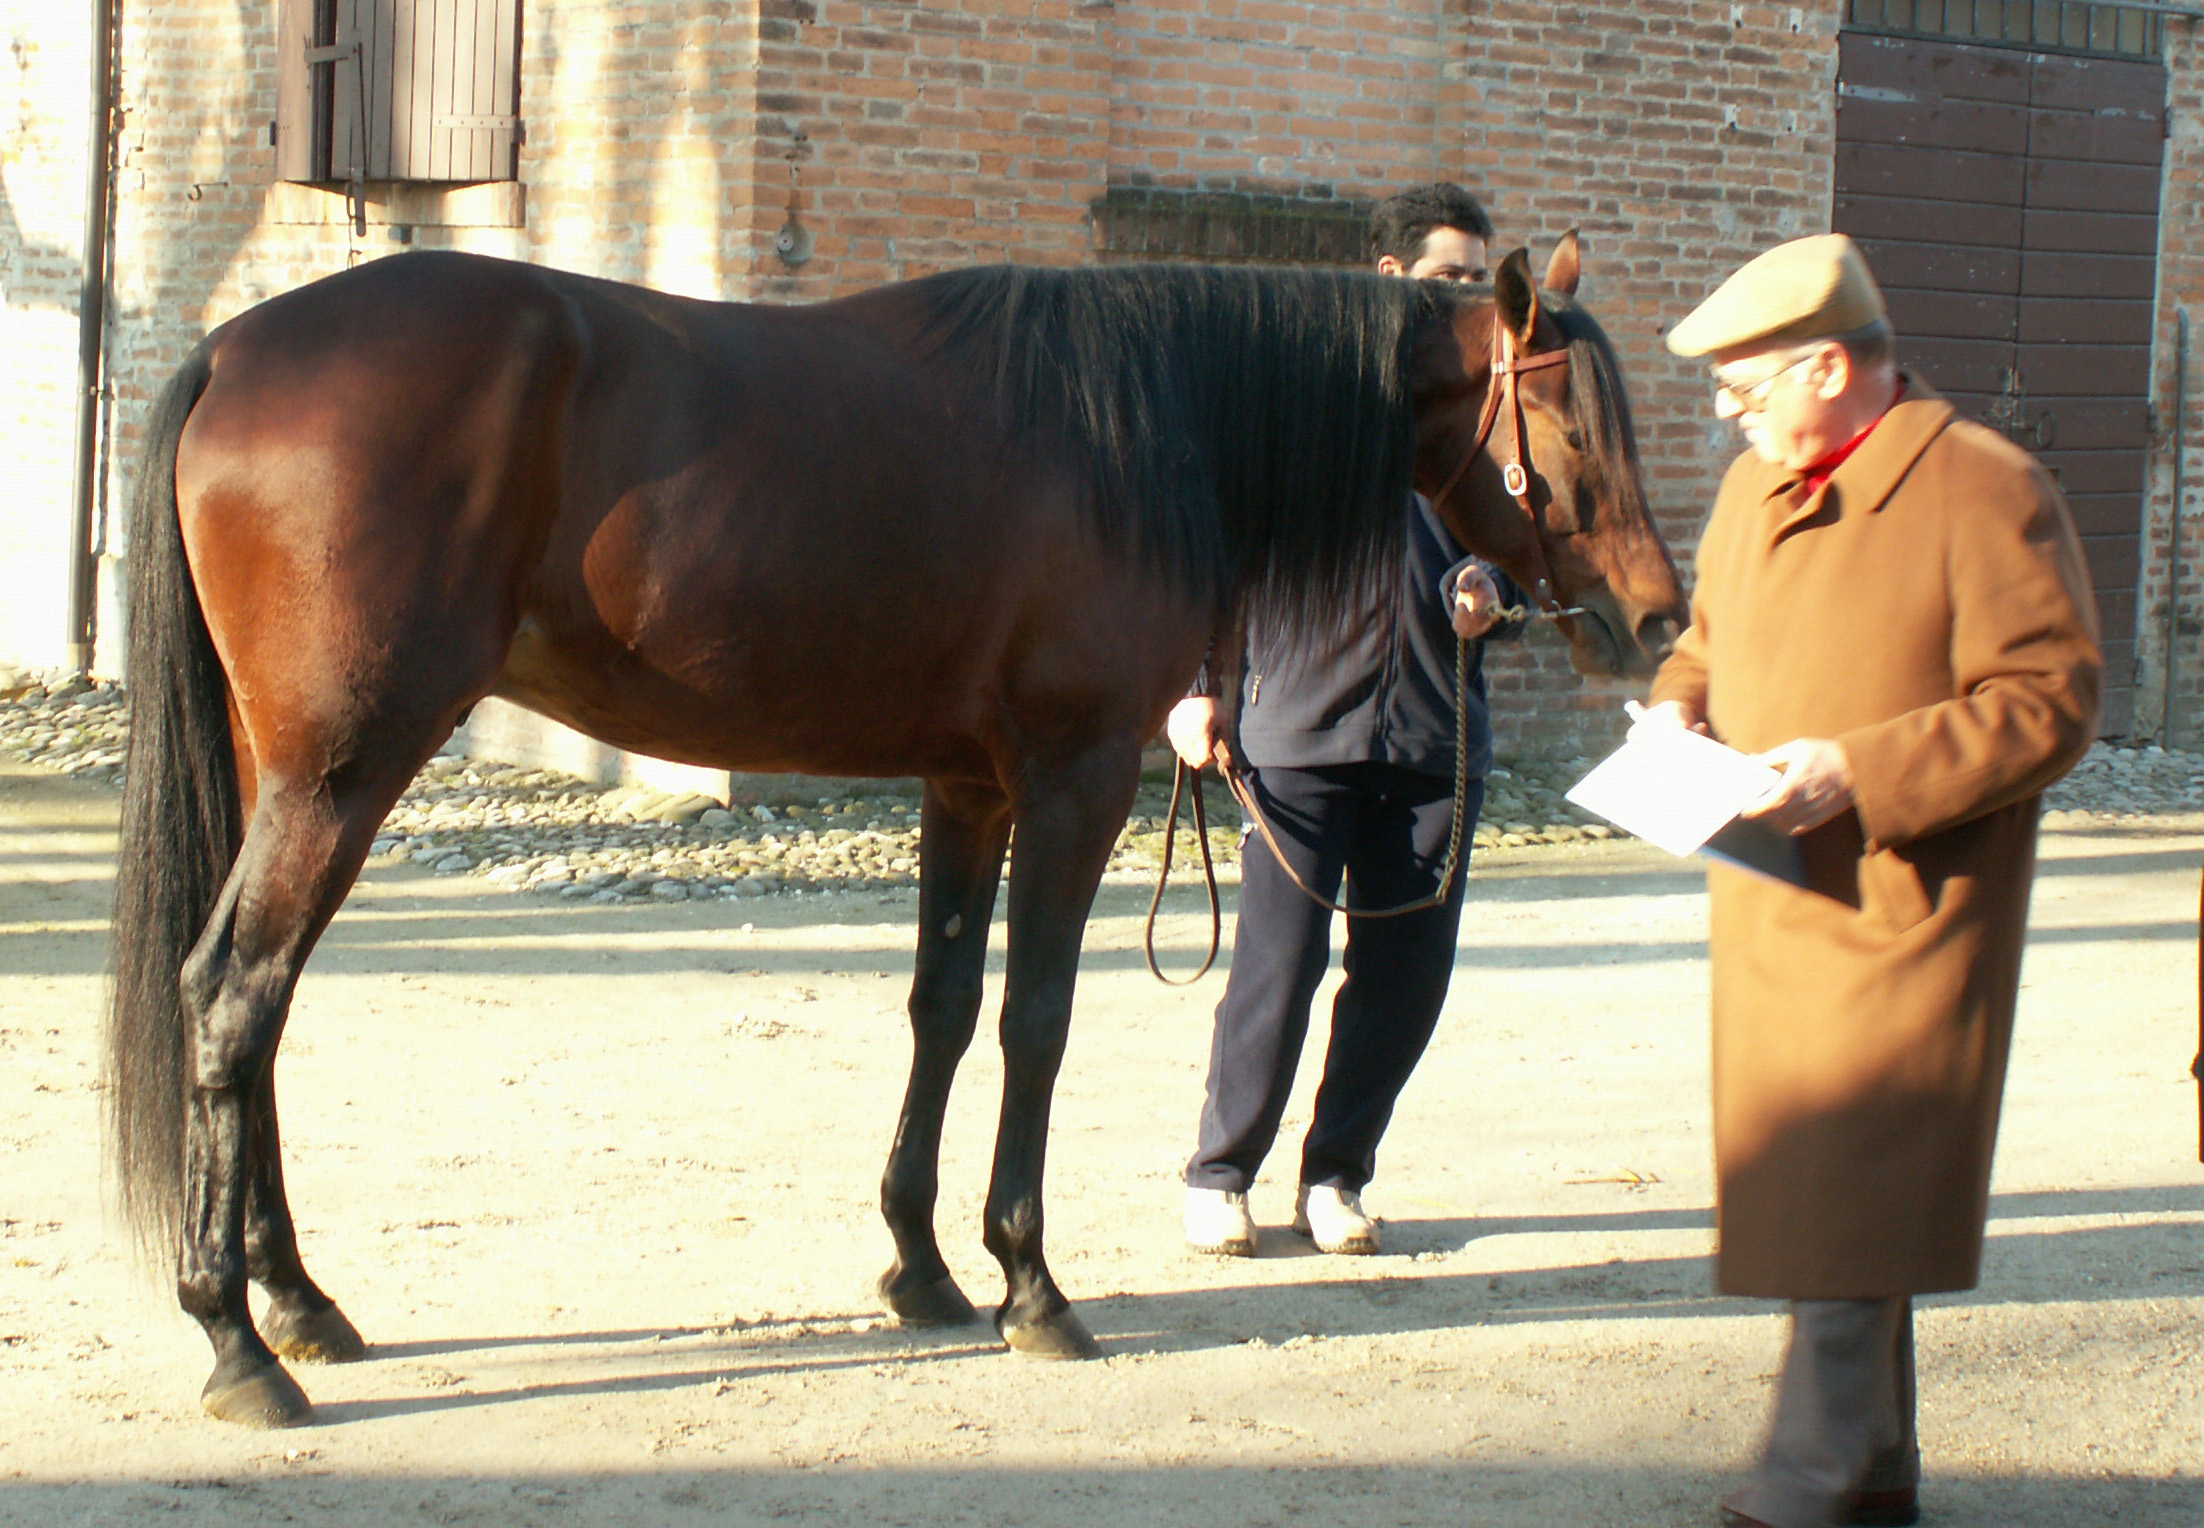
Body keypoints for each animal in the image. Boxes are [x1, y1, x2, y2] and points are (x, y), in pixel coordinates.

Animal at [107, 235, 1683, 1419]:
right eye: (1568, 424)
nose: (1654, 618)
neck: (1141, 424)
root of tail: (239, 349)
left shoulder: (966, 787)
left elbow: (940, 1006)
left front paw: (920, 1270)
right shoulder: (1072, 778)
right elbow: (1036, 1020)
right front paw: (1031, 1286)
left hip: (284, 771)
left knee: (253, 1015)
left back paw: (298, 1304)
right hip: (343, 773)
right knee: (232, 997)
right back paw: (238, 1346)